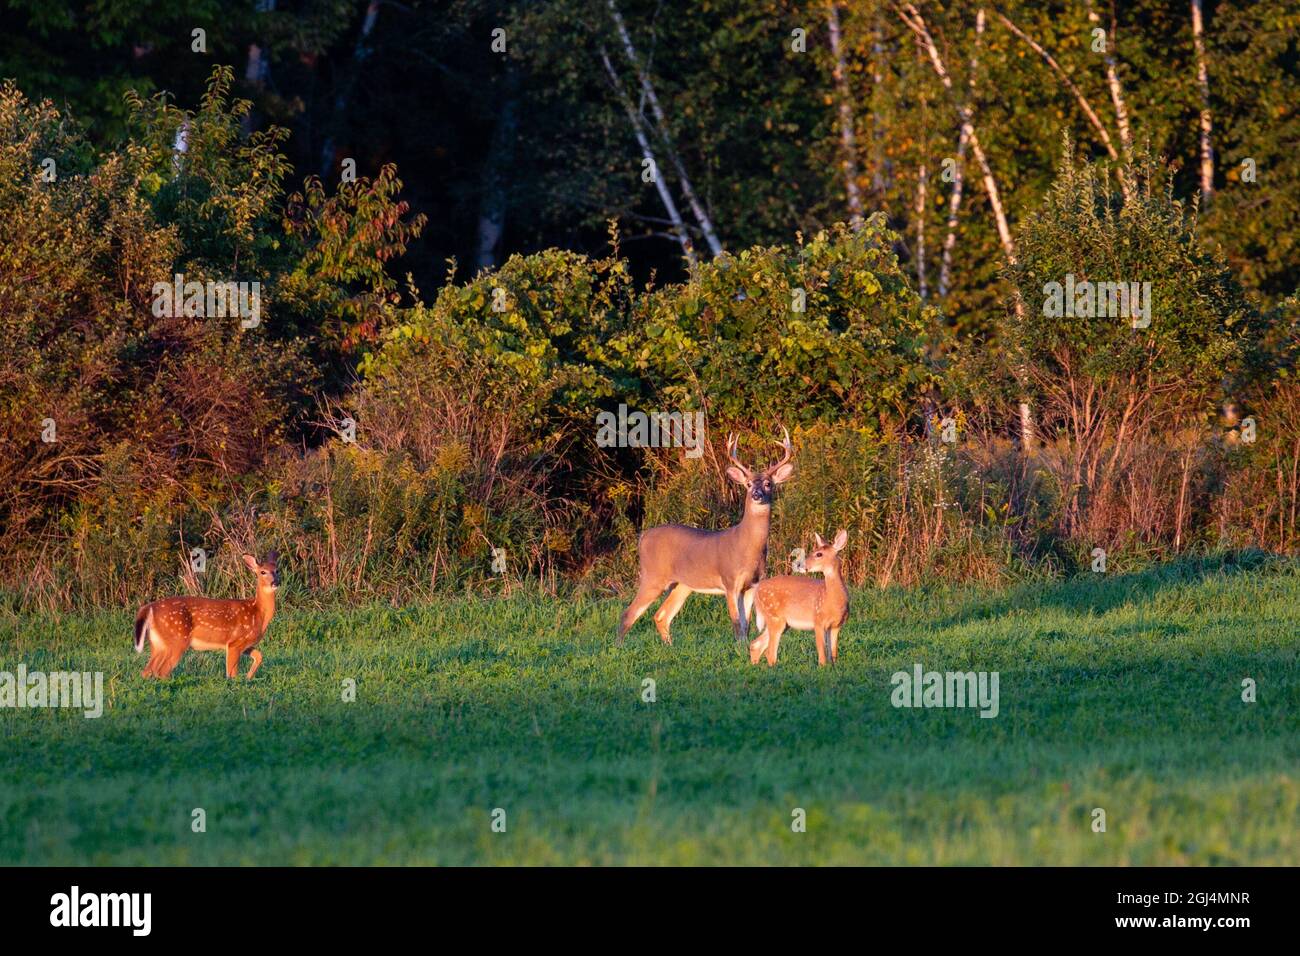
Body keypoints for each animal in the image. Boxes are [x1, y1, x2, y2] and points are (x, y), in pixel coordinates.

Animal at [133, 554, 280, 681]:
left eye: (277, 571)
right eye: (262, 572)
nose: (275, 583)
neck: (258, 613)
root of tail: (149, 607)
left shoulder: (245, 643)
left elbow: (259, 656)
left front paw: (248, 677)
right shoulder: (235, 642)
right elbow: (231, 673)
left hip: (158, 643)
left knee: (147, 671)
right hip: (177, 639)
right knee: (162, 671)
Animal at [616, 429, 790, 647]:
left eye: (768, 483)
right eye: (749, 484)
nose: (757, 494)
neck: (747, 546)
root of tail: (643, 536)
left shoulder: (753, 584)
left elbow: (747, 624)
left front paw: (745, 646)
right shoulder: (729, 580)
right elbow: (737, 623)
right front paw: (740, 648)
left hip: (682, 585)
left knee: (661, 615)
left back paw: (669, 646)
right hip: (652, 576)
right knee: (628, 614)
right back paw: (619, 647)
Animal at [748, 530, 847, 665]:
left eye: (819, 554)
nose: (801, 564)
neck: (833, 601)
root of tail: (757, 589)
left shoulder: (837, 625)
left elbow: (833, 654)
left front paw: (833, 667)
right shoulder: (818, 621)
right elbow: (822, 654)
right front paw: (822, 667)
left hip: (782, 622)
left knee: (756, 644)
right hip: (774, 616)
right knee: (770, 652)